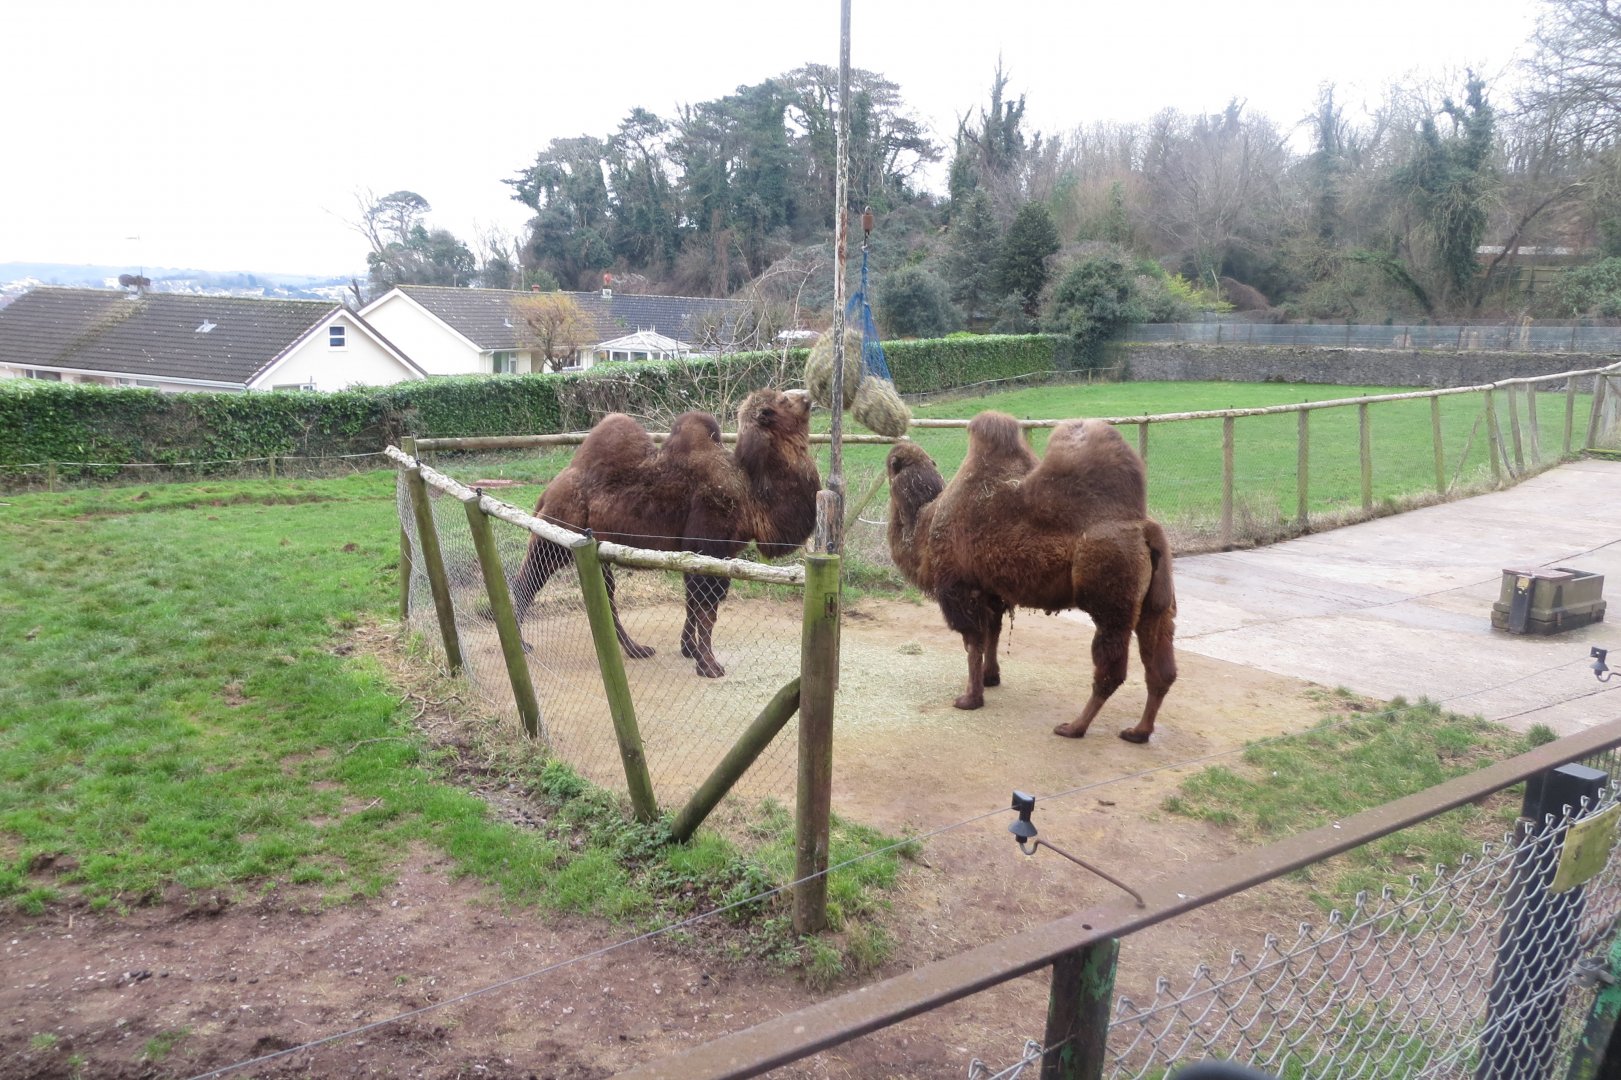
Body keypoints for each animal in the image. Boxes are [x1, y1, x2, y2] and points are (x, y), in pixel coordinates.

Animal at [510, 387, 820, 678]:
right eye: (783, 400)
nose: (808, 395)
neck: (750, 493)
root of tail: (548, 491)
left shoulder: (705, 553)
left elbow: (693, 603)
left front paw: (690, 649)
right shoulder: (709, 546)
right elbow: (707, 609)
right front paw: (708, 665)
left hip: (592, 549)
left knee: (605, 597)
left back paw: (636, 649)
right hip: (553, 539)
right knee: (526, 583)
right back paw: (521, 644)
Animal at [886, 411, 1177, 742]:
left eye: (891, 464)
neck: (924, 523)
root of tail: (1145, 529)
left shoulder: (959, 588)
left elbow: (973, 642)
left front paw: (970, 699)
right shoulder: (991, 590)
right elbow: (993, 633)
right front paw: (990, 678)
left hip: (1111, 599)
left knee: (1111, 669)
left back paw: (1074, 727)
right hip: (1157, 606)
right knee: (1161, 669)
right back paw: (1138, 731)